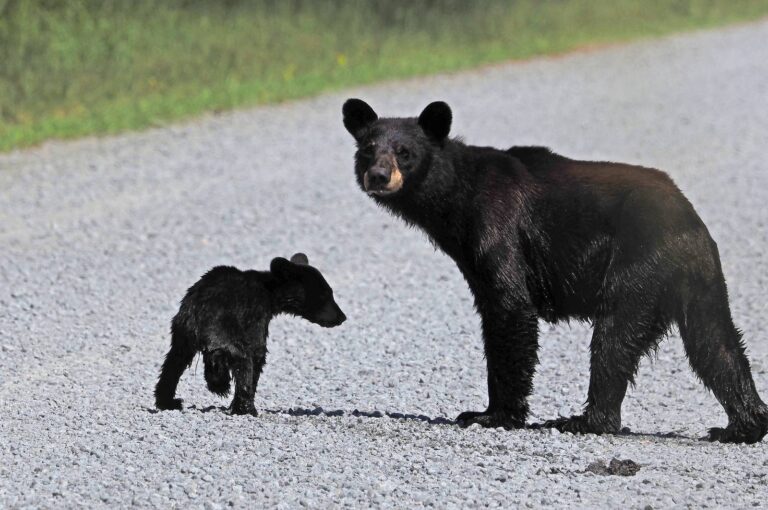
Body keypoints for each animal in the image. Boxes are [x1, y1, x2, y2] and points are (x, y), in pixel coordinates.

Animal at [154, 253, 346, 415]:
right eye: (326, 294)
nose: (342, 317)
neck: (270, 293)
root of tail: (201, 312)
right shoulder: (256, 319)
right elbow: (258, 354)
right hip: (226, 330)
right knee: (241, 360)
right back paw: (242, 404)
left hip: (183, 332)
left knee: (173, 363)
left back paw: (169, 401)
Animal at [342, 98, 768, 443]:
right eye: (368, 149)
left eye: (404, 152)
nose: (378, 175)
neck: (455, 201)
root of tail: (688, 219)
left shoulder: (497, 225)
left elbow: (509, 307)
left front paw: (492, 414)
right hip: (699, 278)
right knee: (714, 343)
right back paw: (741, 426)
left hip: (637, 265)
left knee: (615, 338)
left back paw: (584, 420)